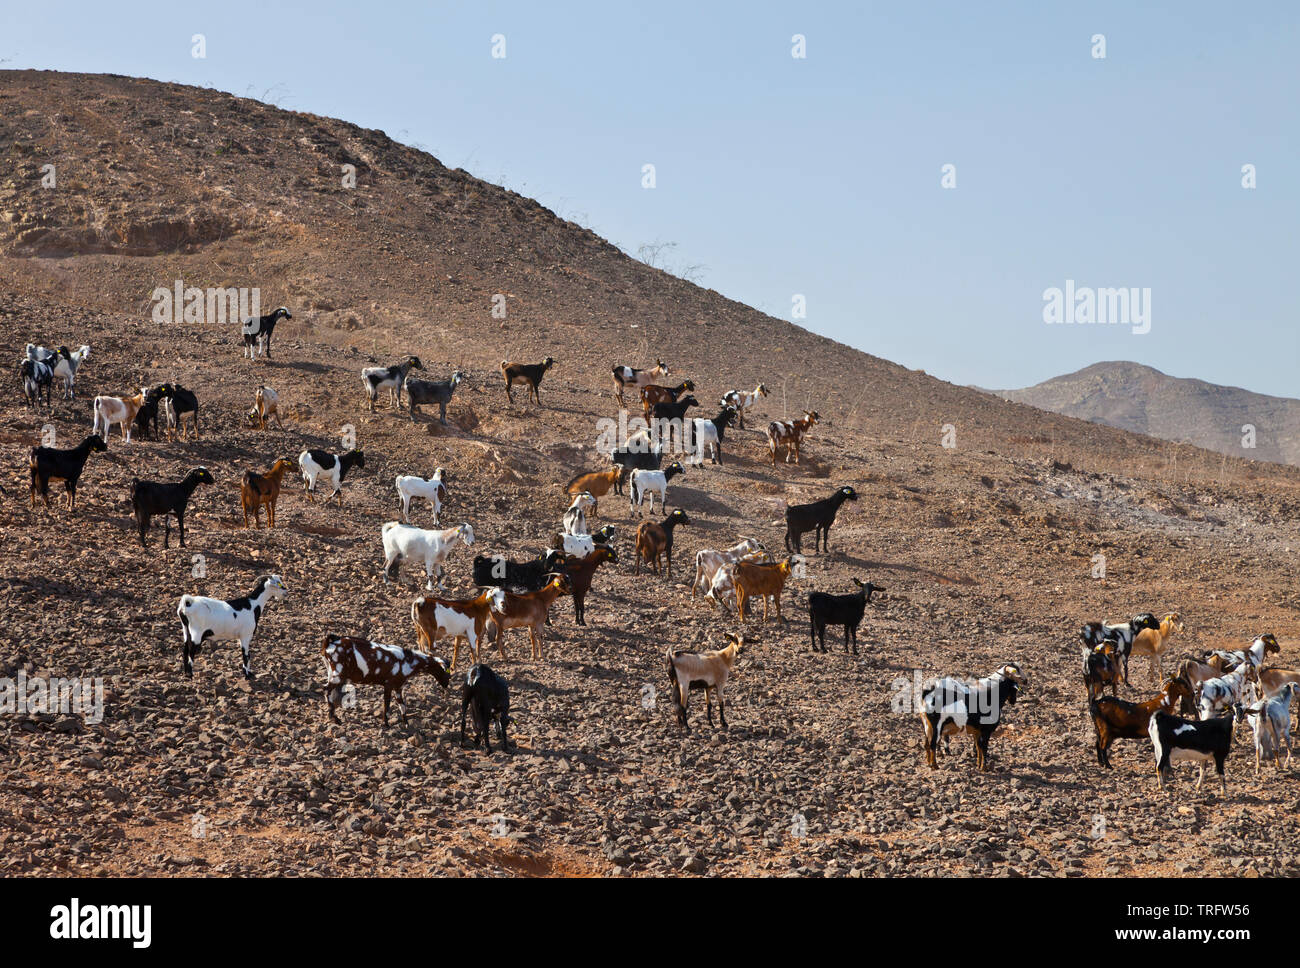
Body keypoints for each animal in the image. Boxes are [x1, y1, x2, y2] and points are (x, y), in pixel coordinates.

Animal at [321, 634, 452, 727]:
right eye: (446, 672)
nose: (446, 685)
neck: (409, 660)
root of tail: (330, 643)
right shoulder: (389, 685)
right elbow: (387, 705)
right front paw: (386, 724)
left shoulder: (398, 687)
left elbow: (402, 706)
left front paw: (406, 724)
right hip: (338, 675)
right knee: (326, 690)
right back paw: (334, 718)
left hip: (331, 673)